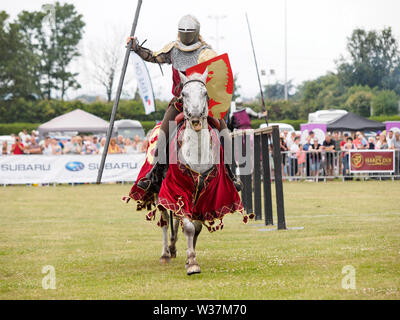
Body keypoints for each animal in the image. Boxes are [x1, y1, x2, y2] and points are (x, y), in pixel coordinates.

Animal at [158, 70, 219, 276]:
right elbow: (189, 227)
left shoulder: (203, 193)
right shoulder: (177, 190)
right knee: (165, 221)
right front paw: (192, 262)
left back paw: (174, 248)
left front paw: (189, 259)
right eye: (183, 94)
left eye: (205, 93)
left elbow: (196, 227)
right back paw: (165, 254)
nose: (195, 116)